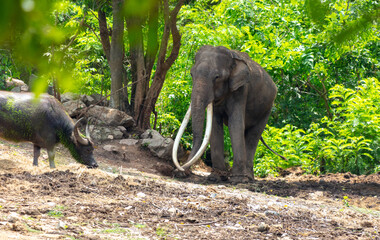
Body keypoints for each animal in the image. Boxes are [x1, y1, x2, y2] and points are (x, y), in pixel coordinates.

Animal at [174, 45, 284, 184]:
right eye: (191, 74)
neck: (232, 59)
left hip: (267, 109)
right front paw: (216, 177)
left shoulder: (241, 90)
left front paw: (238, 179)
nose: (181, 171)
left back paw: (247, 178)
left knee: (253, 135)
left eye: (217, 77)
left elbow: (235, 124)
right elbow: (215, 125)